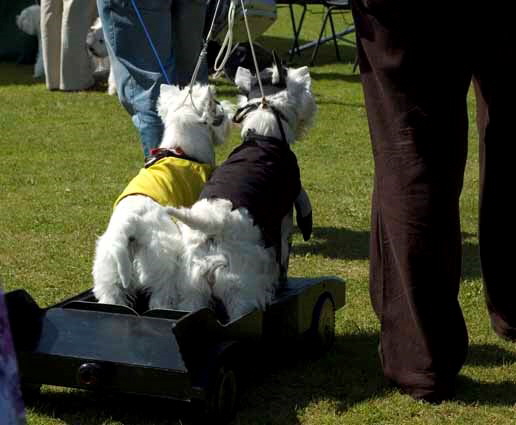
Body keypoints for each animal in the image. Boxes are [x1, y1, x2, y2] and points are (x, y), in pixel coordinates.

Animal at [91, 83, 231, 308]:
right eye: (216, 105)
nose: (228, 109)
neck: (181, 149)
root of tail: (129, 223)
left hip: (108, 268)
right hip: (162, 263)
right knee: (161, 298)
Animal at [167, 53, 316, 320]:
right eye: (299, 83)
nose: (306, 73)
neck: (263, 134)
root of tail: (212, 224)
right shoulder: (284, 217)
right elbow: (285, 255)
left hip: (192, 290)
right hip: (240, 290)